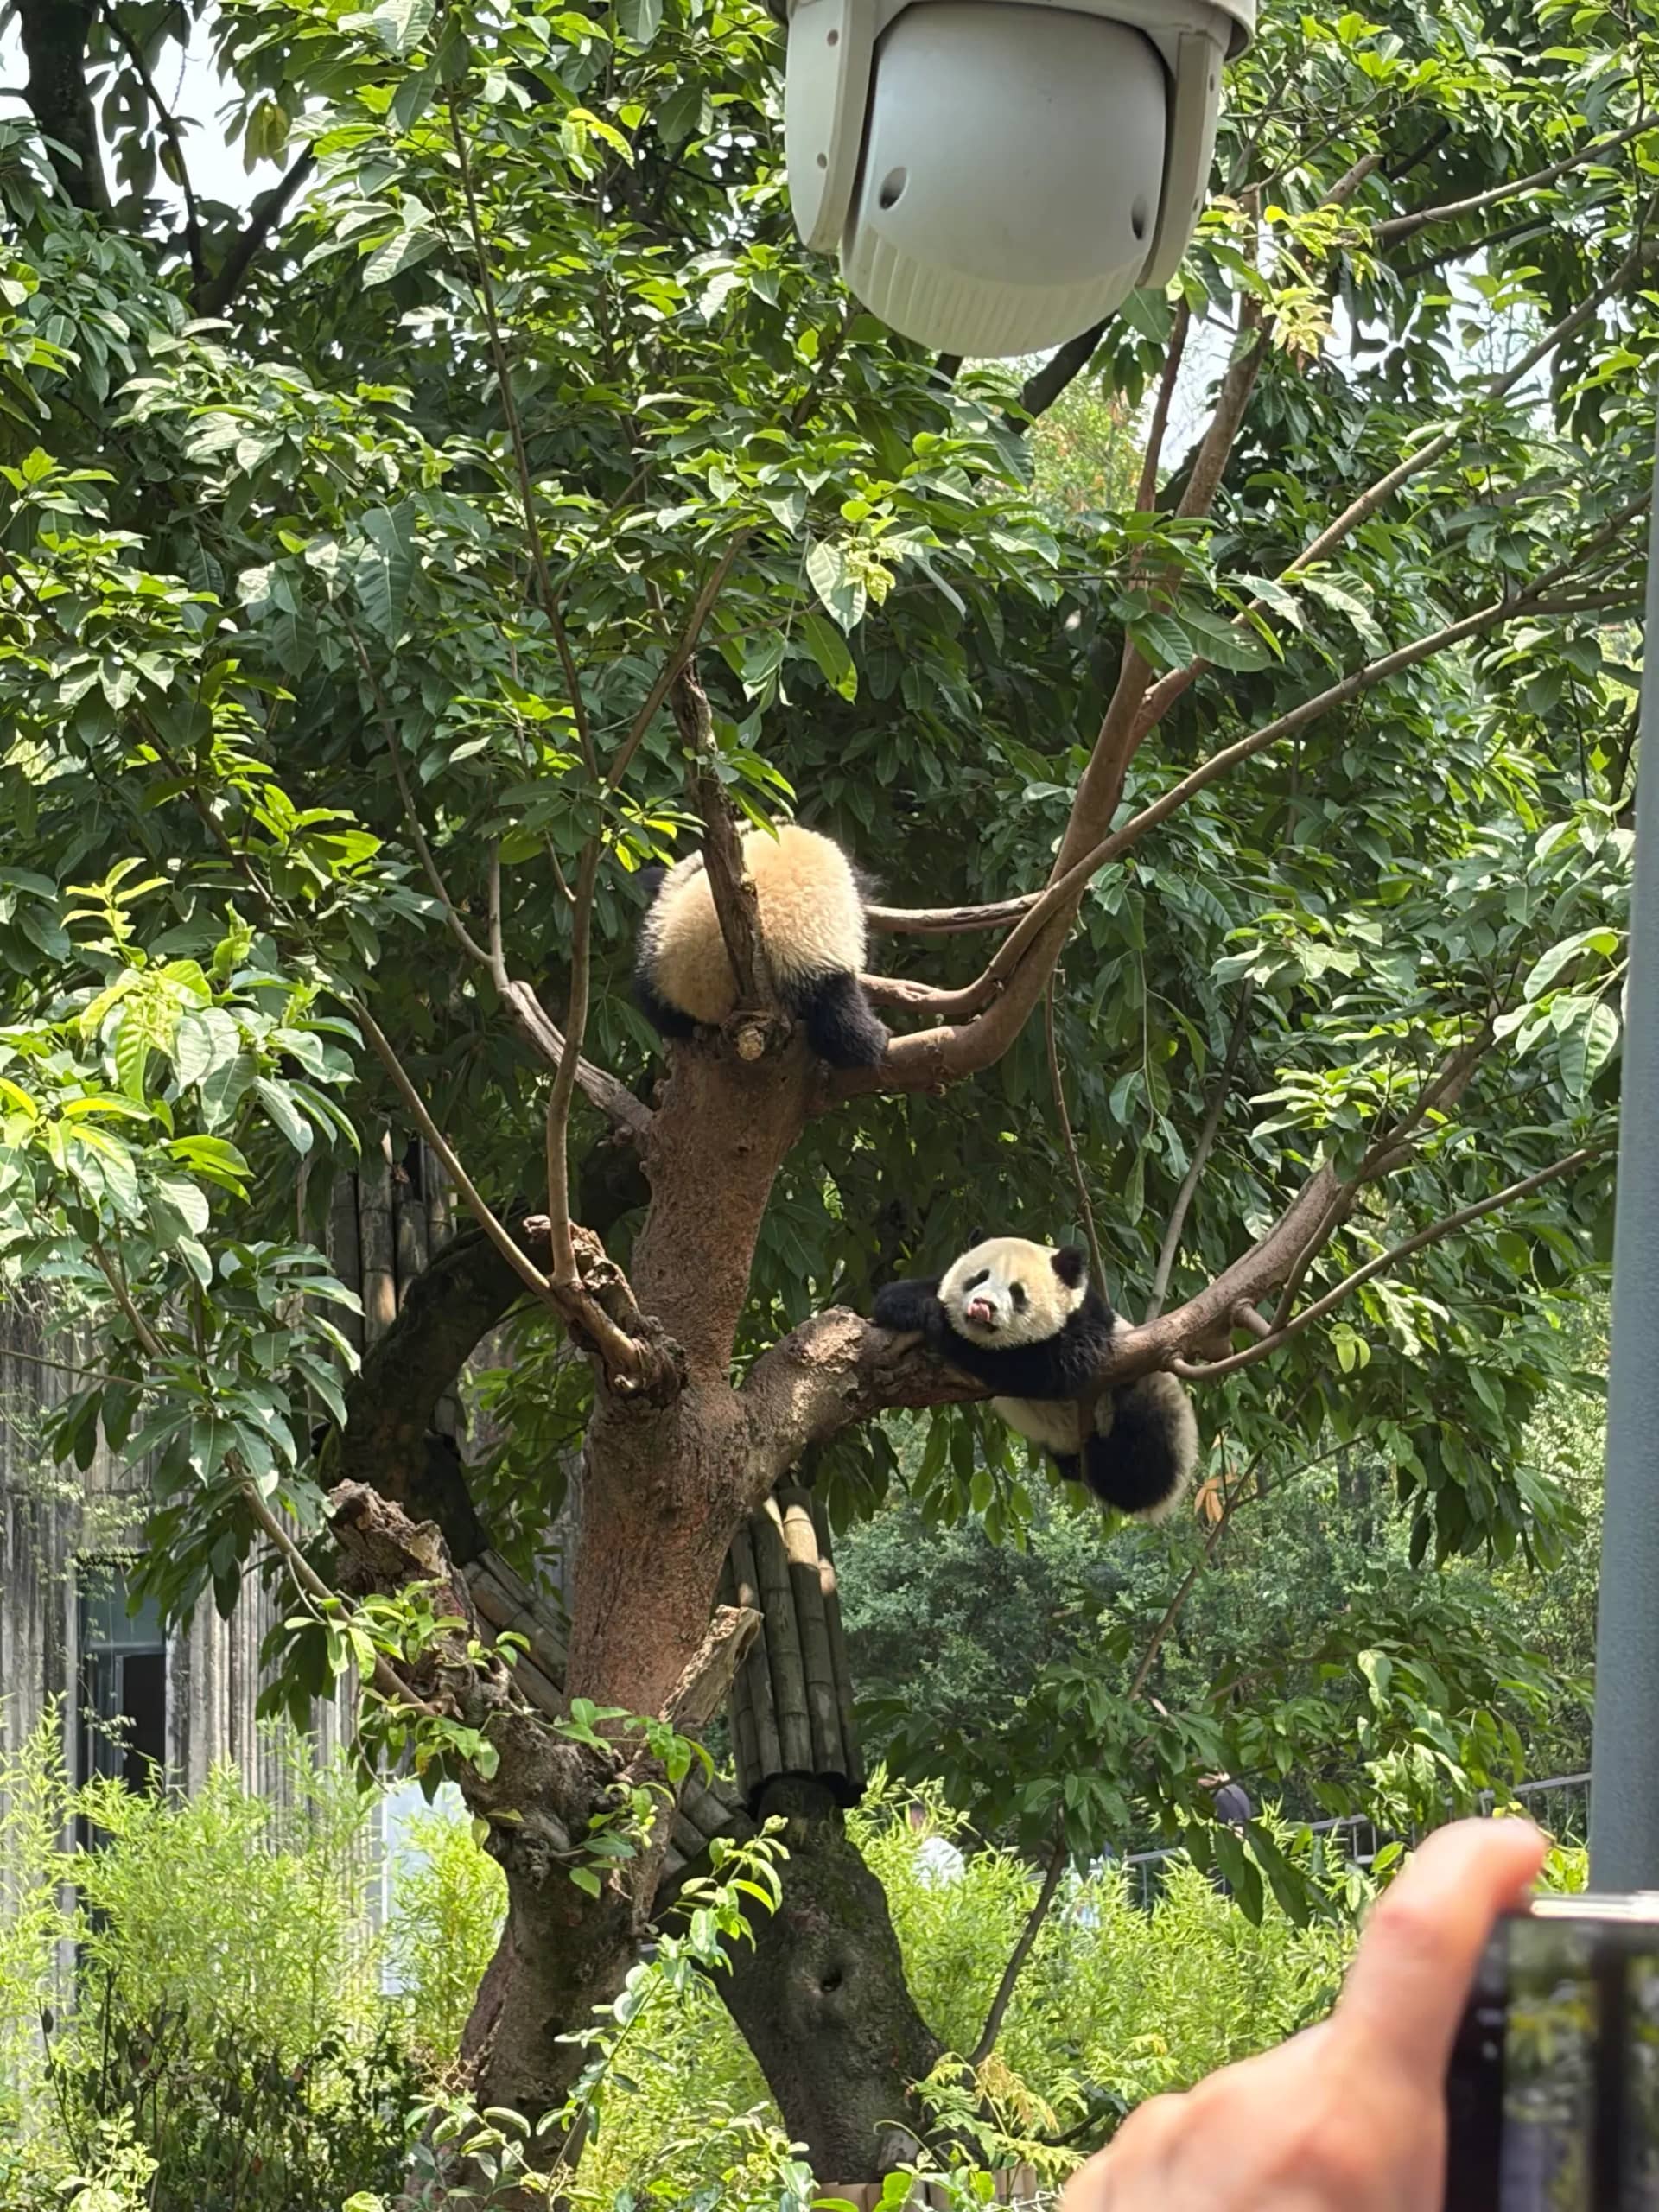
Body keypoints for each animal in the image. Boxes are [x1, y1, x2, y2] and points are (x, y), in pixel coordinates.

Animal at [872, 1235, 1198, 1520]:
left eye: (1017, 1292)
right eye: (978, 1278)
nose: (983, 1306)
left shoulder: (1087, 1323)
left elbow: (1050, 1365)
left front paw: (940, 1323)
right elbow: (900, 1293)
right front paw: (908, 1305)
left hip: (1153, 1397)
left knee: (1137, 1466)